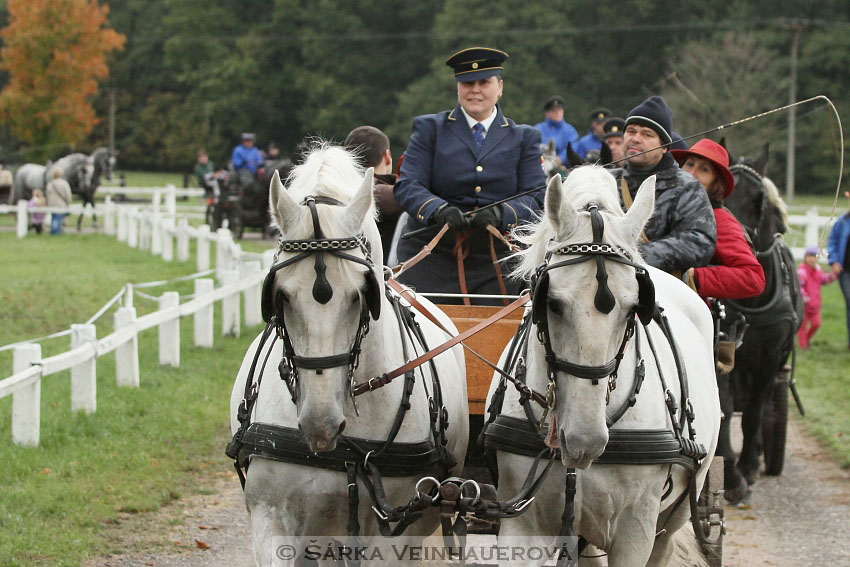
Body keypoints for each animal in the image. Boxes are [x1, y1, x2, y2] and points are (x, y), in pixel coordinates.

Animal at [486, 170, 720, 567]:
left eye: (634, 309)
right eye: (552, 302)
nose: (584, 441)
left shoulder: (634, 532)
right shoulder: (521, 523)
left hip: (676, 512)